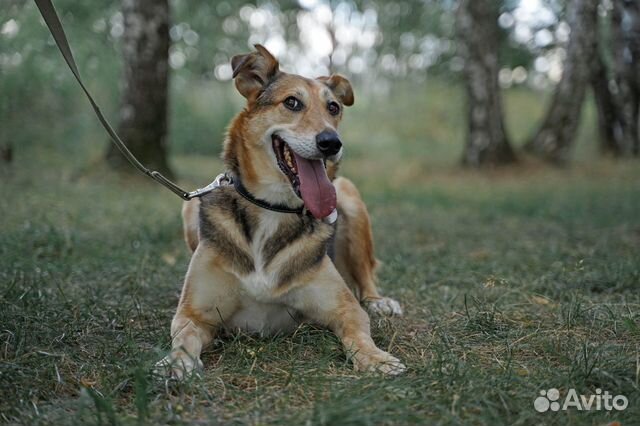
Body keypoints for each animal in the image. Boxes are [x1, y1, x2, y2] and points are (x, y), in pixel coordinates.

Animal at [157, 45, 402, 380]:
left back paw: (380, 302)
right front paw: (176, 363)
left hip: (350, 196)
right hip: (190, 206)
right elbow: (183, 337)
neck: (273, 207)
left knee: (365, 277)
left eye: (333, 107)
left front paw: (376, 358)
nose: (332, 143)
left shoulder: (346, 309)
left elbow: (359, 333)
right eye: (292, 102)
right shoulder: (194, 314)